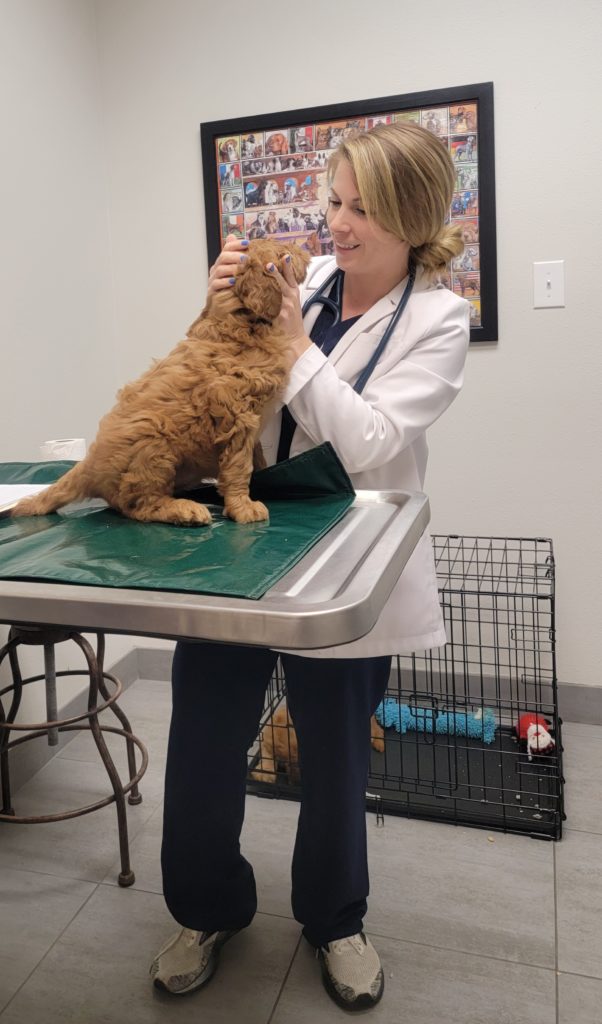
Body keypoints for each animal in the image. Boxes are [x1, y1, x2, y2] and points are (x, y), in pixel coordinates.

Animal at [12, 240, 311, 528]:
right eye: (284, 252)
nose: (306, 252)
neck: (240, 322)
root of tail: (88, 465)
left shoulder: (251, 423)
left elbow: (256, 457)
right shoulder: (238, 416)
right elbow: (239, 466)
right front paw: (244, 507)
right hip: (153, 441)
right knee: (138, 504)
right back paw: (184, 510)